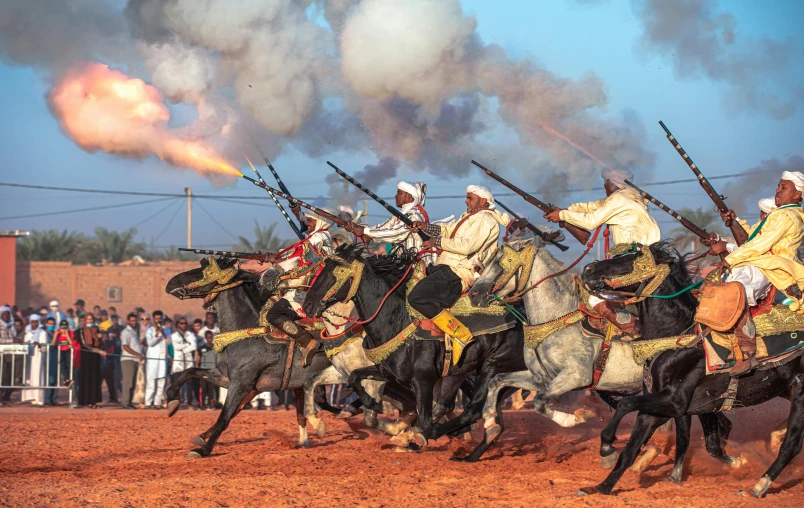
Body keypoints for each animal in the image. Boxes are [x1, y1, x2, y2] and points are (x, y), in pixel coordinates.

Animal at [166, 258, 332, 456]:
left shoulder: (241, 384)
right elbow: (190, 371)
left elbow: (225, 417)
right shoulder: (227, 378)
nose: (171, 282)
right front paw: (172, 399)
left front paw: (203, 449)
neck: (248, 333)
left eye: (203, 270)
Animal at [576, 242, 804, 496]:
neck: (678, 334)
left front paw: (607, 446)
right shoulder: (671, 403)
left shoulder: (676, 401)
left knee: (792, 445)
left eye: (633, 259)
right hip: (786, 390)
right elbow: (633, 448)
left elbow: (626, 404)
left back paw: (759, 485)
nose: (588, 269)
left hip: (800, 394)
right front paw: (601, 487)